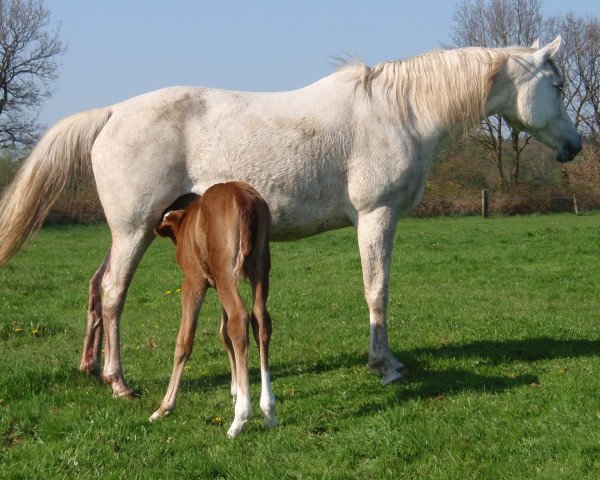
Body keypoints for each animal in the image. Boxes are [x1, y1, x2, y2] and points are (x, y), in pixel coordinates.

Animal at [0, 37, 580, 398]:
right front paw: (385, 366)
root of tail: (113, 112)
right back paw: (118, 381)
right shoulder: (376, 217)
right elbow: (377, 291)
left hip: (128, 232)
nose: (574, 147)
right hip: (134, 230)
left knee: (96, 286)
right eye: (557, 87)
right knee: (113, 292)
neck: (399, 113)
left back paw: (89, 368)